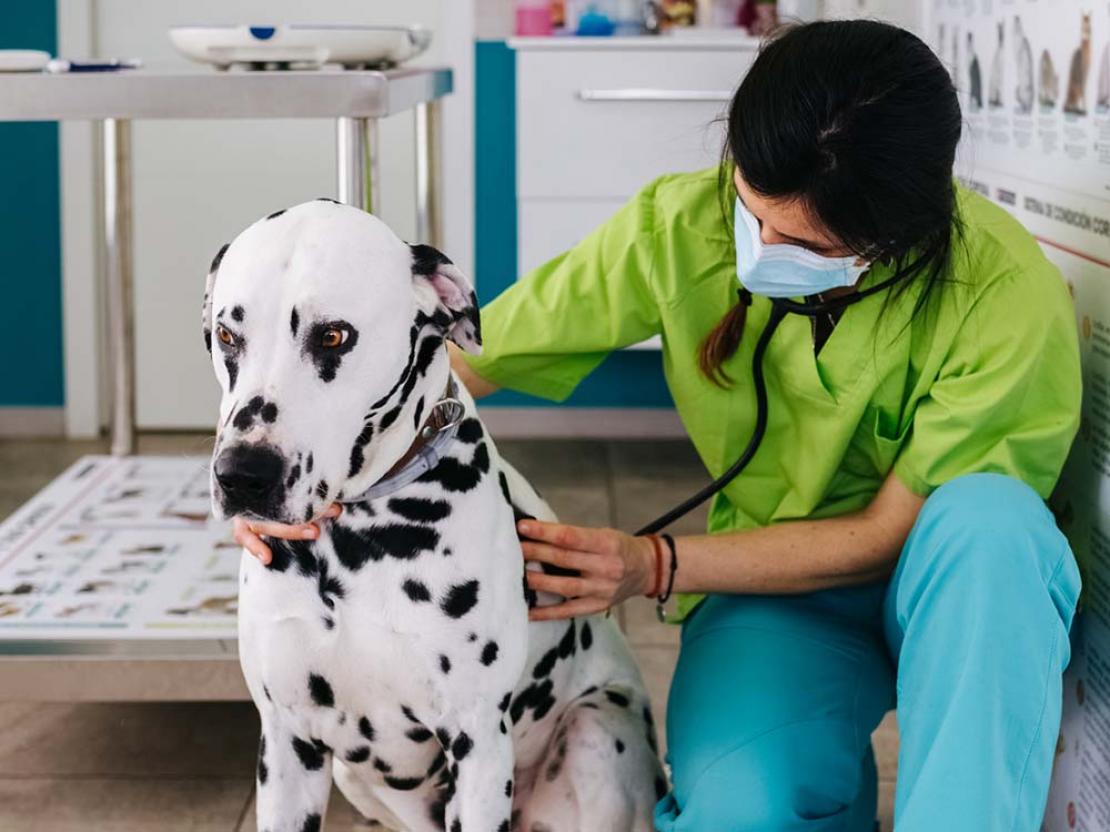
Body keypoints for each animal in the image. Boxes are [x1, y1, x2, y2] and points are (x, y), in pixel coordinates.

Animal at [204, 201, 661, 832]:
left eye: (333, 335)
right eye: (228, 334)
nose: (243, 475)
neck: (353, 543)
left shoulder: (478, 745)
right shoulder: (288, 744)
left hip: (598, 733)